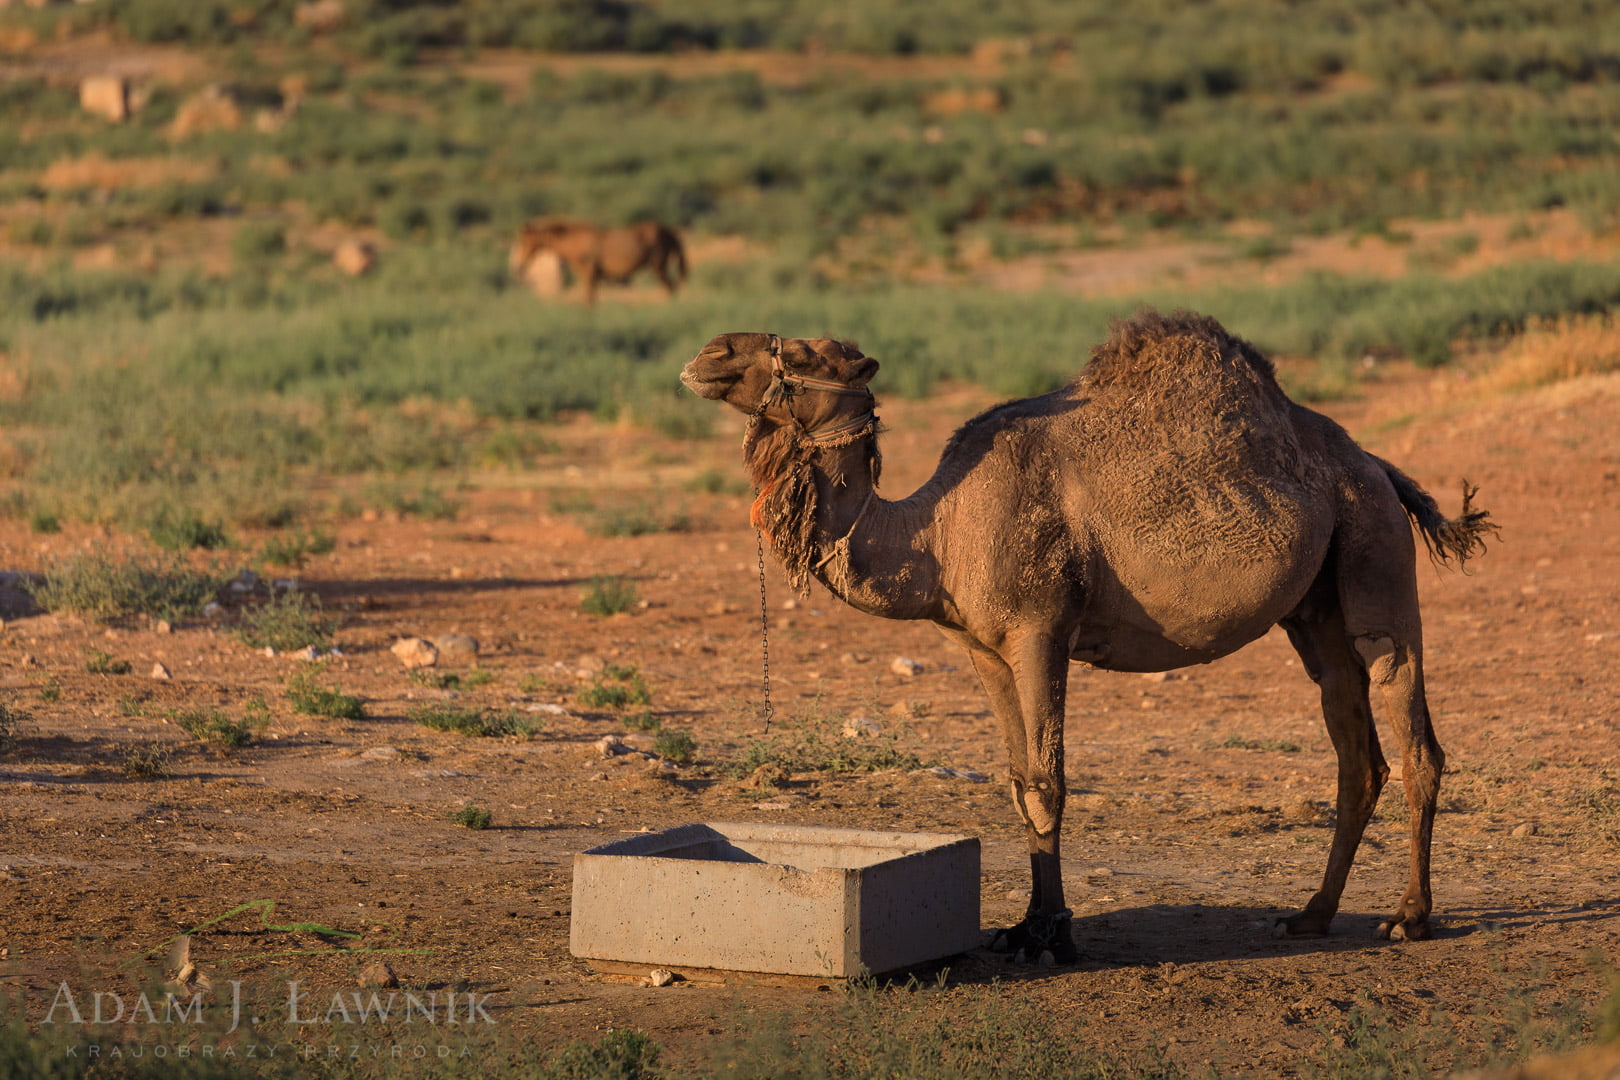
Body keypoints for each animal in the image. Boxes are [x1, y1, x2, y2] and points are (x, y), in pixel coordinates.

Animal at [505, 216, 683, 304]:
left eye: (523, 242)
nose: (519, 265)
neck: (575, 241)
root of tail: (667, 231)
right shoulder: (591, 275)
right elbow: (592, 298)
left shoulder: (589, 272)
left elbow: (589, 299)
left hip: (658, 267)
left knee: (670, 288)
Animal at [680, 310, 1490, 965]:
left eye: (808, 352)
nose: (708, 352)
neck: (936, 532)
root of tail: (1377, 464)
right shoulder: (982, 647)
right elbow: (1017, 783)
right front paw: (1022, 928)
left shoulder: (1040, 629)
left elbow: (1048, 784)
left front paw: (1050, 935)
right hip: (1314, 608)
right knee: (1356, 747)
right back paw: (1311, 916)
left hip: (1375, 551)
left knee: (1407, 712)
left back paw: (1409, 918)